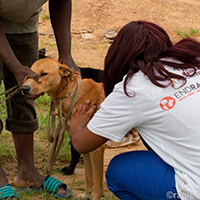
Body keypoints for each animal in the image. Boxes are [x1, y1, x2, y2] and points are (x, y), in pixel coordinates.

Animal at [21, 57, 105, 200]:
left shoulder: (97, 149)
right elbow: (89, 177)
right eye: (30, 74)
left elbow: (98, 186)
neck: (73, 95)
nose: (24, 88)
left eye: (44, 74)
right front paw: (87, 194)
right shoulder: (85, 147)